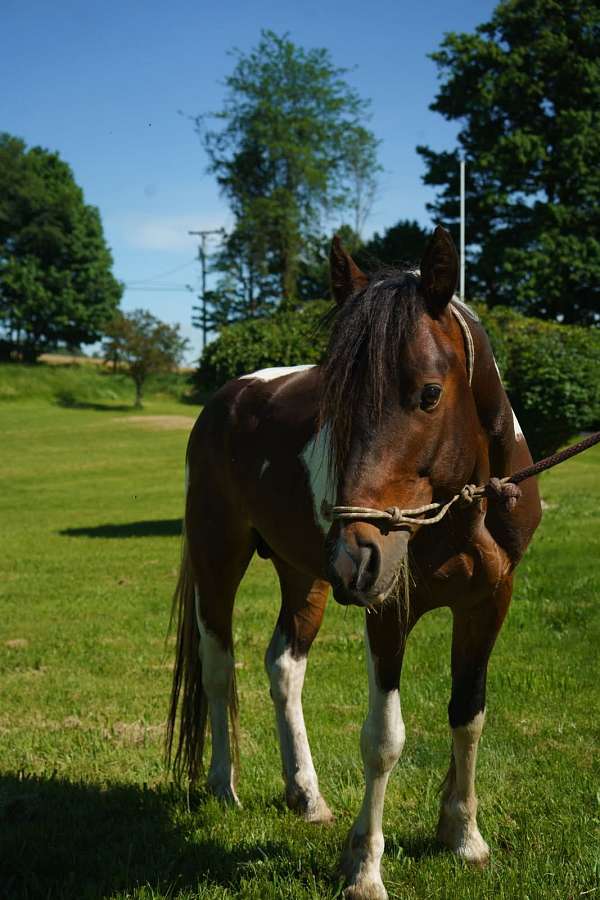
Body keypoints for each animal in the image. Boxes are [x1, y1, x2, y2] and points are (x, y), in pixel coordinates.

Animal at [166, 226, 542, 899]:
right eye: (334, 402)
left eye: (429, 394)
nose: (356, 556)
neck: (463, 506)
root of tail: (229, 397)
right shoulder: (386, 610)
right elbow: (383, 740)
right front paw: (365, 867)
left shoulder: (489, 602)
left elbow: (468, 716)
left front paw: (463, 836)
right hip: (220, 558)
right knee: (219, 666)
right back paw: (222, 786)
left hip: (305, 574)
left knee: (284, 666)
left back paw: (305, 794)